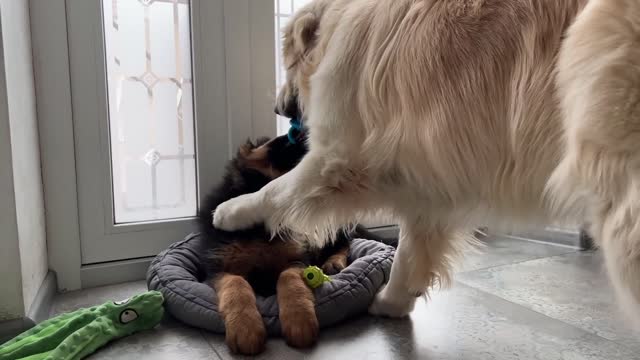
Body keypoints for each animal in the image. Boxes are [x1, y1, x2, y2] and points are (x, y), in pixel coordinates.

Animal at [214, 0, 640, 320]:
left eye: (287, 59)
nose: (278, 108)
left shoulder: (337, 152)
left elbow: (275, 190)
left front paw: (232, 210)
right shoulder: (429, 179)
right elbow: (410, 247)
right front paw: (392, 301)